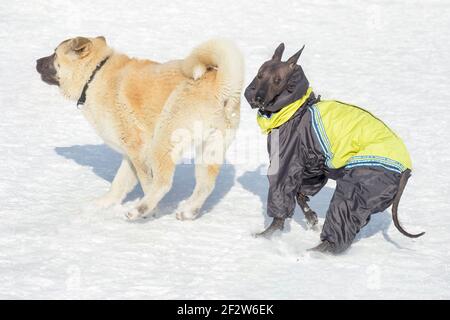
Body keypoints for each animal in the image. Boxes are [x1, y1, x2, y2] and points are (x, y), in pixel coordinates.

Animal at [37, 36, 244, 219]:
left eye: (54, 54)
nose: (36, 61)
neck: (94, 75)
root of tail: (221, 86)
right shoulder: (130, 155)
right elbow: (119, 183)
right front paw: (102, 204)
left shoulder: (138, 149)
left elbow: (147, 183)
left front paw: (153, 212)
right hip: (209, 150)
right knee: (205, 186)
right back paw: (188, 212)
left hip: (163, 140)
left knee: (163, 183)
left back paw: (139, 210)